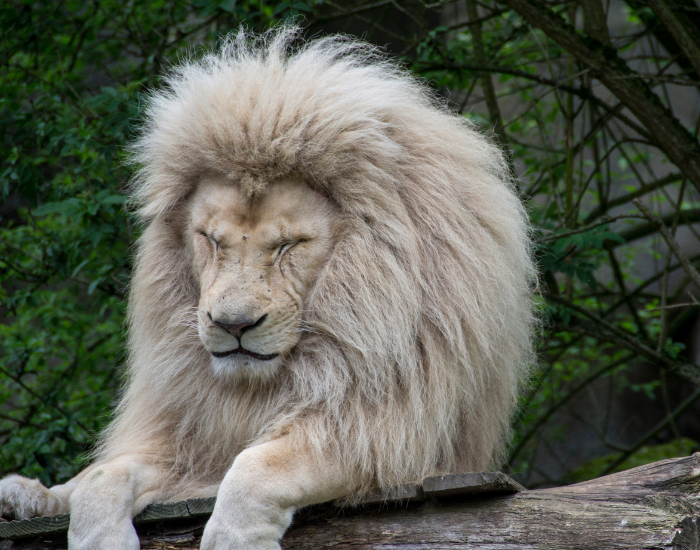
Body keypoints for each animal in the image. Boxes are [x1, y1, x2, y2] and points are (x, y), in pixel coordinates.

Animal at [0, 27, 535, 549]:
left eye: (288, 245)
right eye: (211, 240)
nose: (233, 325)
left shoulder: (382, 433)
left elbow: (257, 466)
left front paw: (234, 537)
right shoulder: (188, 436)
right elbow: (100, 479)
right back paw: (23, 496)